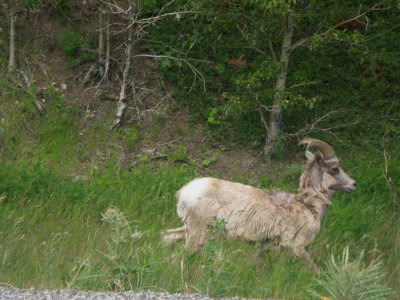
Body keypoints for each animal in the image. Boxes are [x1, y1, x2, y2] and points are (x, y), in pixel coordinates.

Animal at [162, 139, 356, 274]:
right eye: (335, 168)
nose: (353, 185)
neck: (309, 207)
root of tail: (183, 192)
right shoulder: (297, 248)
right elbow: (316, 270)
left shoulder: (264, 247)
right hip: (198, 233)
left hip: (189, 229)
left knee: (167, 237)